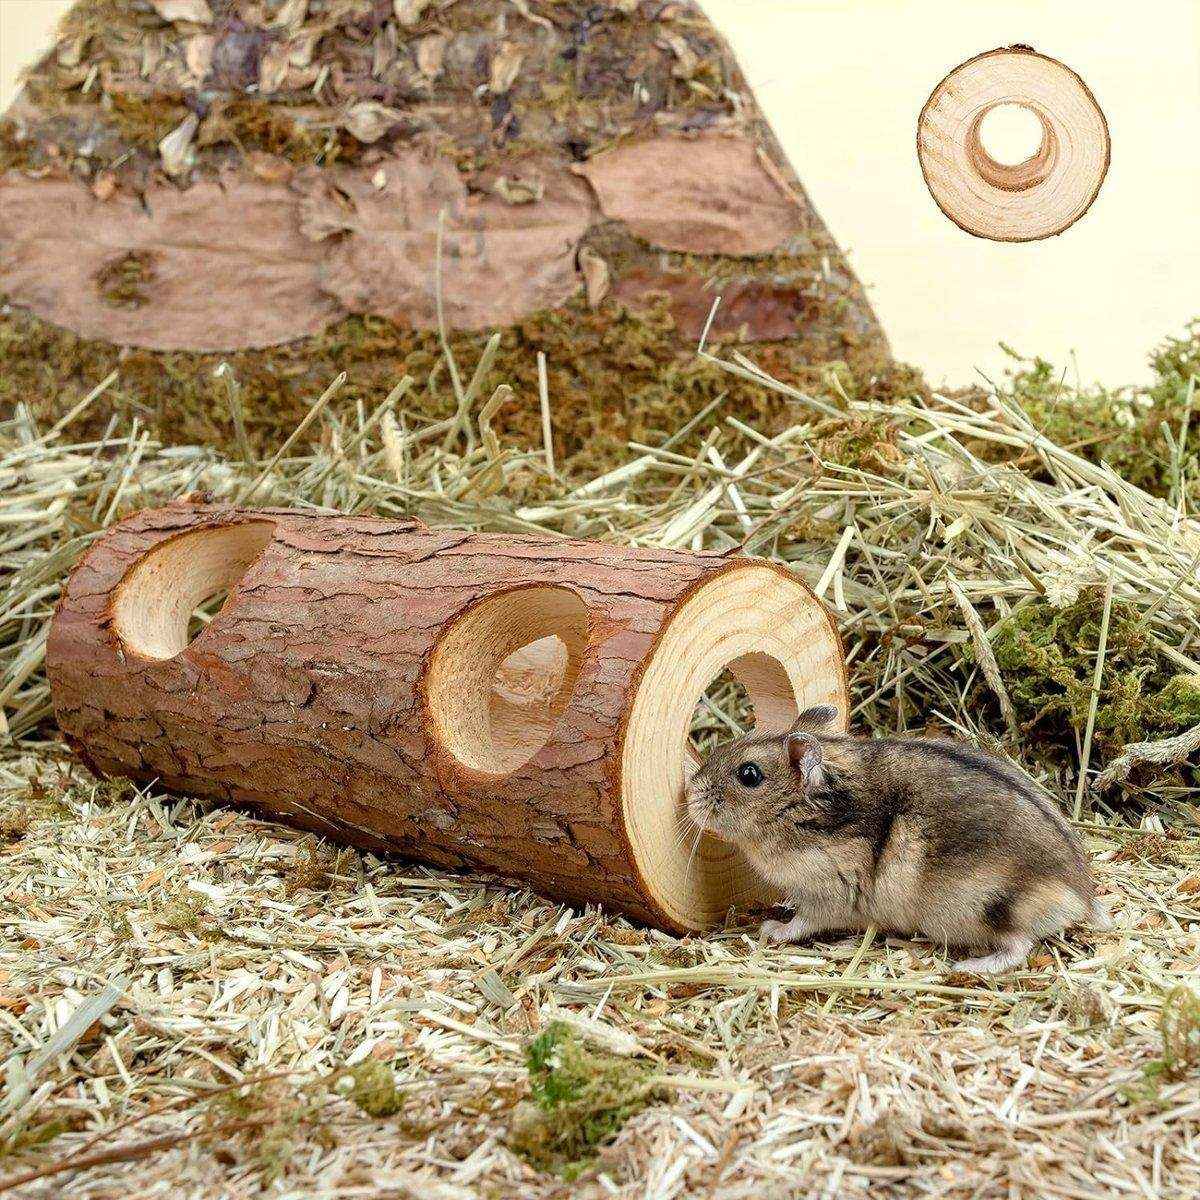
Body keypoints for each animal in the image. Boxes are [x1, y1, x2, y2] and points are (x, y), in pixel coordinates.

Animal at [686, 704, 1107, 974]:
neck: (803, 814)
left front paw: (770, 929)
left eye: (749, 775)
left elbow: (801, 921)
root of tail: (1083, 899)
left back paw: (970, 966)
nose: (690, 791)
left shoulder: (828, 893)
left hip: (987, 906)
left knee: (1019, 946)